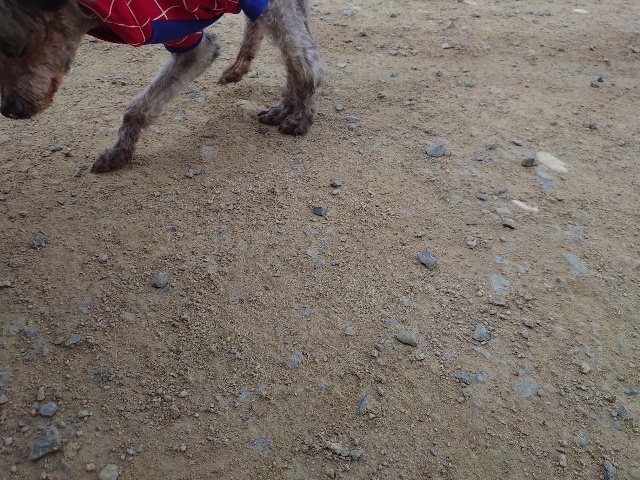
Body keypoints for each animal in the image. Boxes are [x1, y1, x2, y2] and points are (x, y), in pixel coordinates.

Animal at [0, 0, 327, 172]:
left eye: (19, 47)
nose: (9, 109)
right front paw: (120, 150)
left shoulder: (193, 46)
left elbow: (138, 108)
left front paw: (119, 151)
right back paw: (277, 100)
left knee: (306, 61)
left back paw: (299, 114)